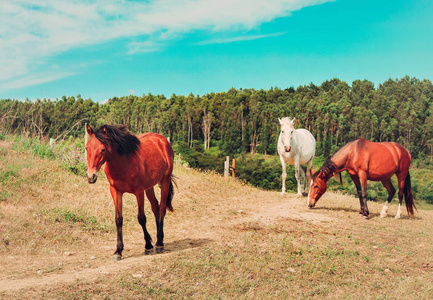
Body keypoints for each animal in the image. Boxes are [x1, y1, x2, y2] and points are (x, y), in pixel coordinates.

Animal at [85, 124, 175, 260]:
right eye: (86, 148)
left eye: (103, 150)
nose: (91, 176)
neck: (123, 163)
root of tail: (162, 141)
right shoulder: (115, 191)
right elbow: (118, 220)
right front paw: (118, 251)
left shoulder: (139, 192)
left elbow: (141, 218)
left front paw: (148, 245)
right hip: (149, 187)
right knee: (155, 207)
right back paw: (159, 240)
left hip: (164, 181)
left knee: (162, 209)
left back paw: (159, 244)